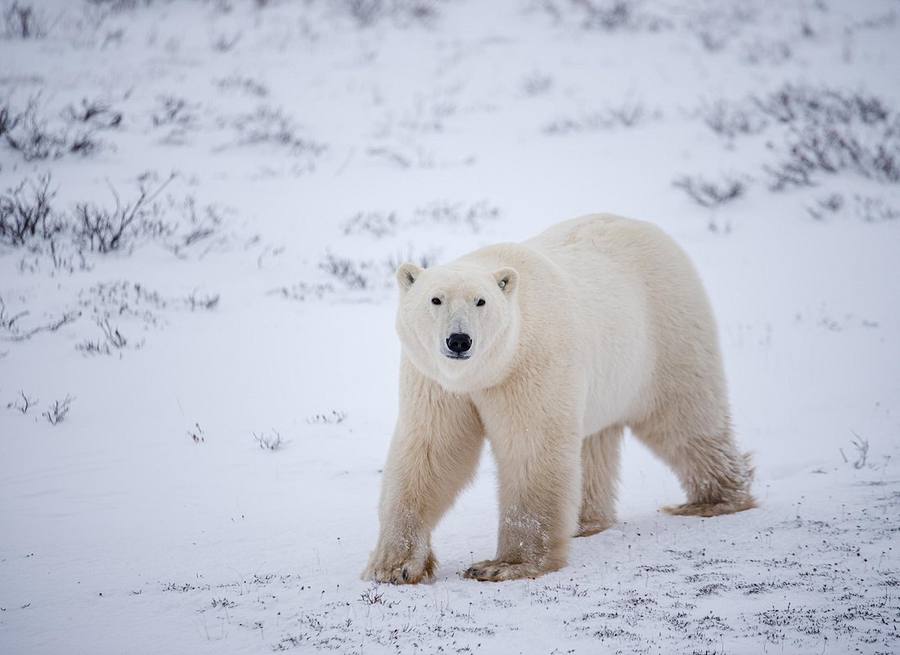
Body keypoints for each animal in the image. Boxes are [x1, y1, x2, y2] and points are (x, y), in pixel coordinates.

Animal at [363, 214, 754, 584]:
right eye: (435, 299)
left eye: (481, 301)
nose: (459, 340)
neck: (489, 371)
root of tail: (653, 232)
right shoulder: (435, 382)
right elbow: (431, 450)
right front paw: (394, 566)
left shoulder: (532, 364)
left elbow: (531, 449)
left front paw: (504, 565)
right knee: (594, 443)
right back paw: (586, 521)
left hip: (667, 332)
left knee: (685, 417)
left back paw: (715, 499)